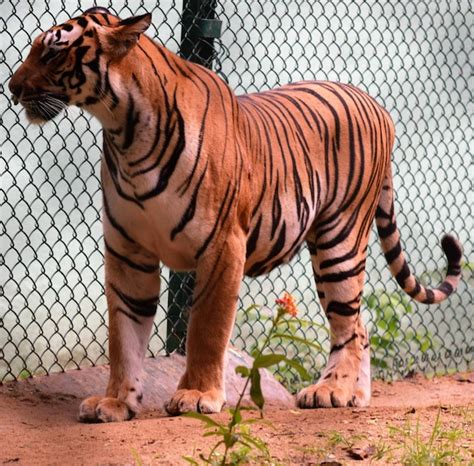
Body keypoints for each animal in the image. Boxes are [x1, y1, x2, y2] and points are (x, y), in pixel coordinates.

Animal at [9, 7, 462, 422]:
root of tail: (378, 106)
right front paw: (116, 401)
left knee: (350, 325)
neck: (124, 130)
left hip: (340, 241)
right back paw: (354, 395)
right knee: (361, 326)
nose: (11, 88)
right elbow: (124, 336)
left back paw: (331, 390)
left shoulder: (223, 244)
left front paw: (196, 395)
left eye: (52, 52)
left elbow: (206, 328)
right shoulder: (128, 251)